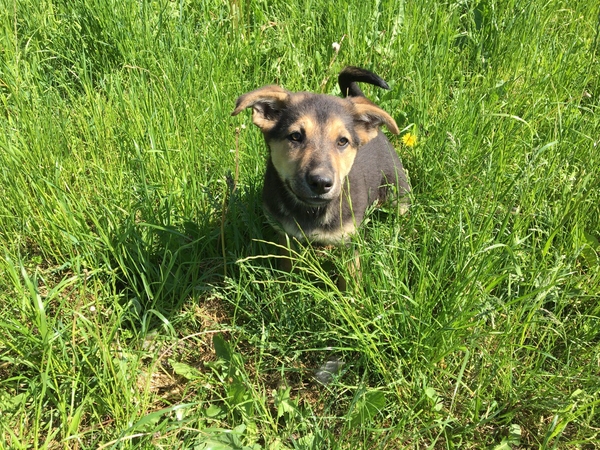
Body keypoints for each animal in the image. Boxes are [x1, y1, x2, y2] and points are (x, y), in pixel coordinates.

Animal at [232, 66, 410, 284]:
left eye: (342, 141)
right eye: (295, 136)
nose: (321, 183)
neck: (311, 211)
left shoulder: (350, 241)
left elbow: (350, 275)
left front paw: (353, 293)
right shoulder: (285, 234)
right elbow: (288, 264)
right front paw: (288, 284)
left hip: (397, 193)